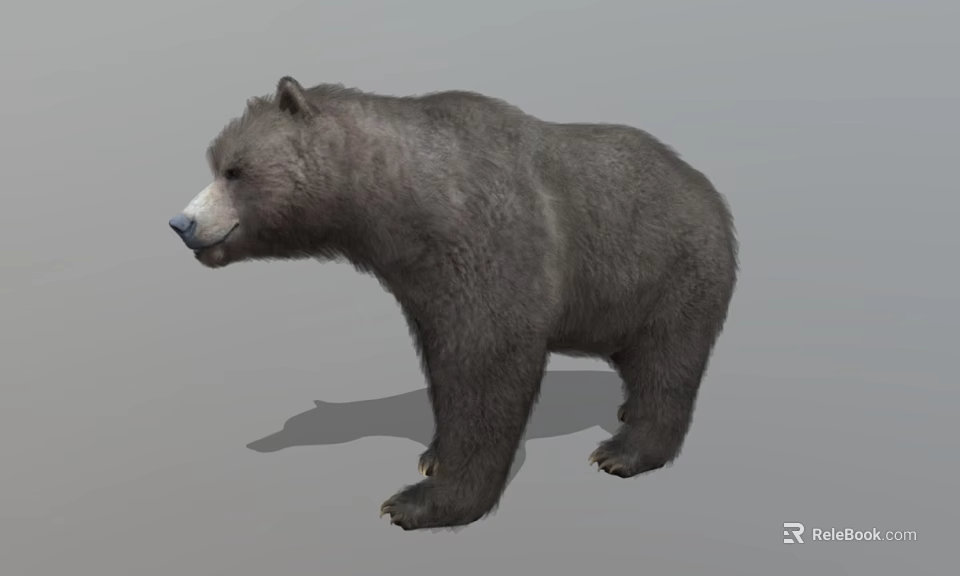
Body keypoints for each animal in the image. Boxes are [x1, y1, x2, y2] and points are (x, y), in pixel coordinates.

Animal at [168, 76, 739, 531]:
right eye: (216, 163)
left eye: (235, 171)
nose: (181, 223)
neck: (404, 205)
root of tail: (703, 183)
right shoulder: (425, 283)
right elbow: (444, 362)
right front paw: (432, 456)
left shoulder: (491, 246)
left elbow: (488, 368)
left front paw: (419, 502)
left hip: (670, 269)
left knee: (667, 362)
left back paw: (624, 450)